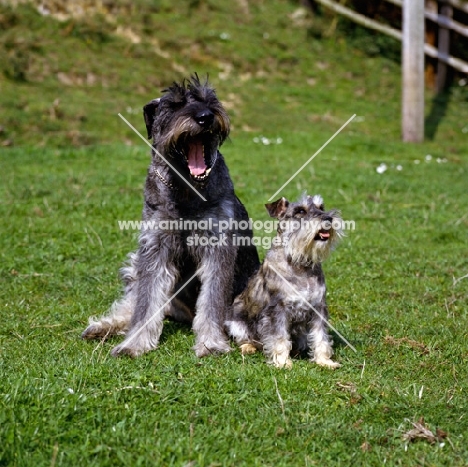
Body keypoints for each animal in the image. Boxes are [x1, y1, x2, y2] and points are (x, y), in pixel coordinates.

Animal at [82, 75, 262, 356]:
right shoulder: (155, 248)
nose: (205, 117)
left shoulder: (217, 248)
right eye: (174, 104)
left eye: (209, 100)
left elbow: (212, 300)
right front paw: (133, 344)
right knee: (134, 302)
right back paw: (104, 326)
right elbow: (145, 303)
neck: (186, 191)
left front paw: (211, 343)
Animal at [225, 194, 342, 370]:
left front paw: (325, 361)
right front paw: (282, 362)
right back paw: (248, 347)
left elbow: (320, 336)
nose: (328, 218)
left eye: (321, 207)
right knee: (245, 338)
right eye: (300, 211)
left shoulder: (318, 308)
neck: (300, 265)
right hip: (236, 322)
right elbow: (279, 337)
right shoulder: (278, 310)